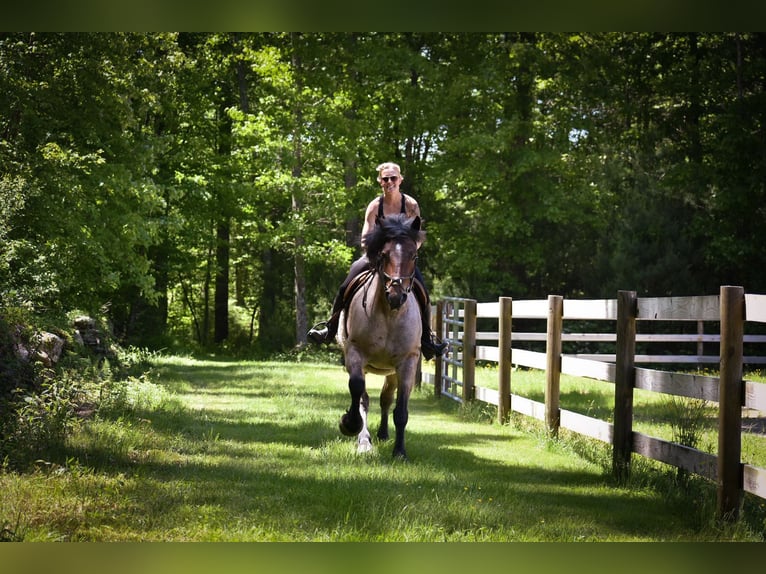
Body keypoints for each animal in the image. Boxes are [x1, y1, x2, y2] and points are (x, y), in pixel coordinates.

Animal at [340, 214, 428, 462]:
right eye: (384, 254)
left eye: (414, 255)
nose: (396, 295)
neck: (389, 315)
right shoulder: (355, 353)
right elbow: (357, 390)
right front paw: (349, 425)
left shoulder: (407, 363)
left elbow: (401, 410)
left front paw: (400, 452)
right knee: (365, 398)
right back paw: (364, 441)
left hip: (392, 371)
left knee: (386, 398)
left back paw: (382, 434)